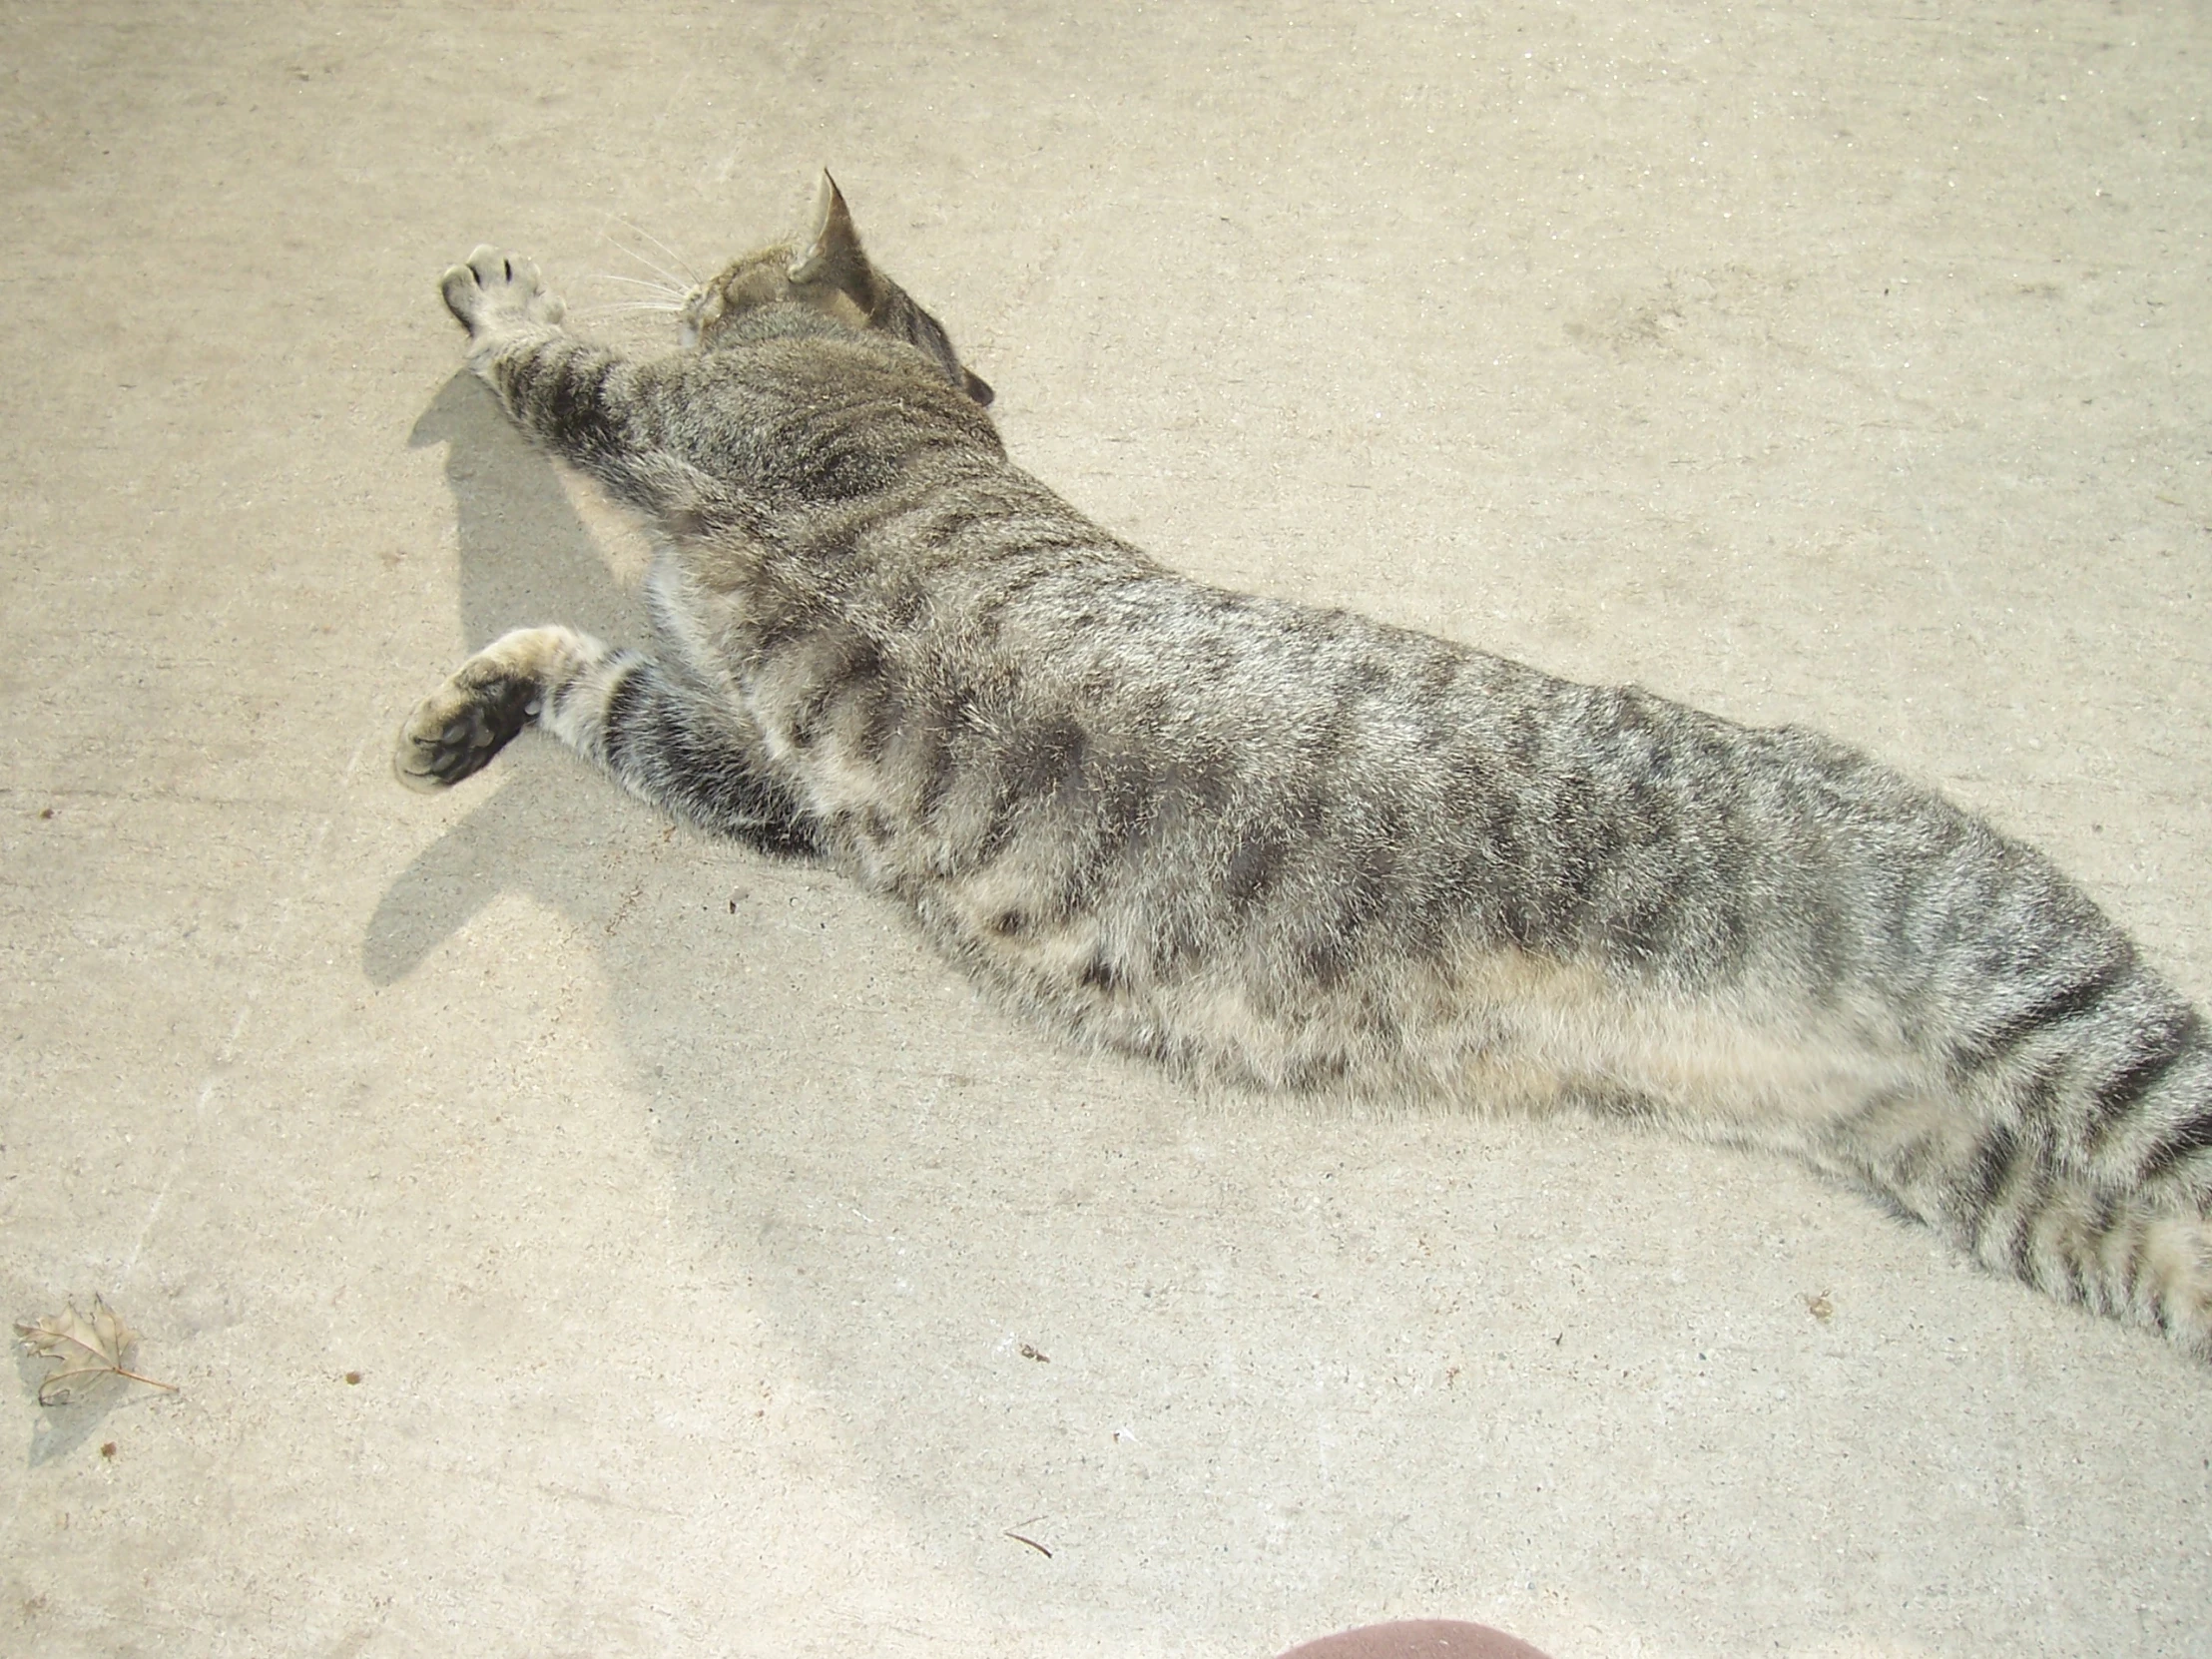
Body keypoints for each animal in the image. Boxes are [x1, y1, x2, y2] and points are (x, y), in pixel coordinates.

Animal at [397, 172, 2212, 1363]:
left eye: (730, 272)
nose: (700, 287)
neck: (912, 395)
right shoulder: (753, 774)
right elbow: (595, 689)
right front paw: (470, 708)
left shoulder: (673, 420)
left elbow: (541, 364)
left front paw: (497, 292)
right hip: (1972, 1171)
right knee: (2169, 1255)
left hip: (2062, 1028)